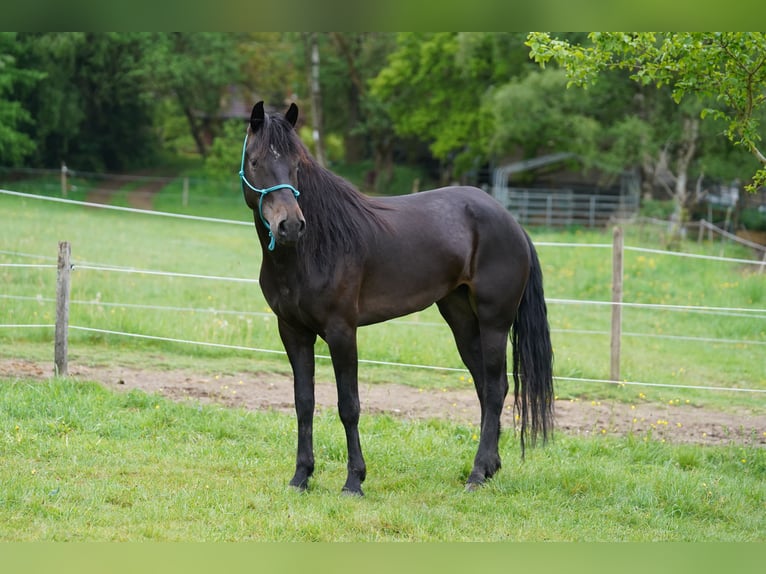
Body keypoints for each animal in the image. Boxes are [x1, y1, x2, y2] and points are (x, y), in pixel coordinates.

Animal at [239, 101, 554, 495]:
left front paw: (354, 481)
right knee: (485, 386)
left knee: (496, 389)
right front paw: (301, 476)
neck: (312, 250)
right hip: (462, 320)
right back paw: (490, 467)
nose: (291, 226)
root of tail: (511, 222)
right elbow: (303, 403)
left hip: (494, 322)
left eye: (297, 164)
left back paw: (477, 474)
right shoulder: (293, 332)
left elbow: (349, 405)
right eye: (255, 162)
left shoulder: (342, 331)